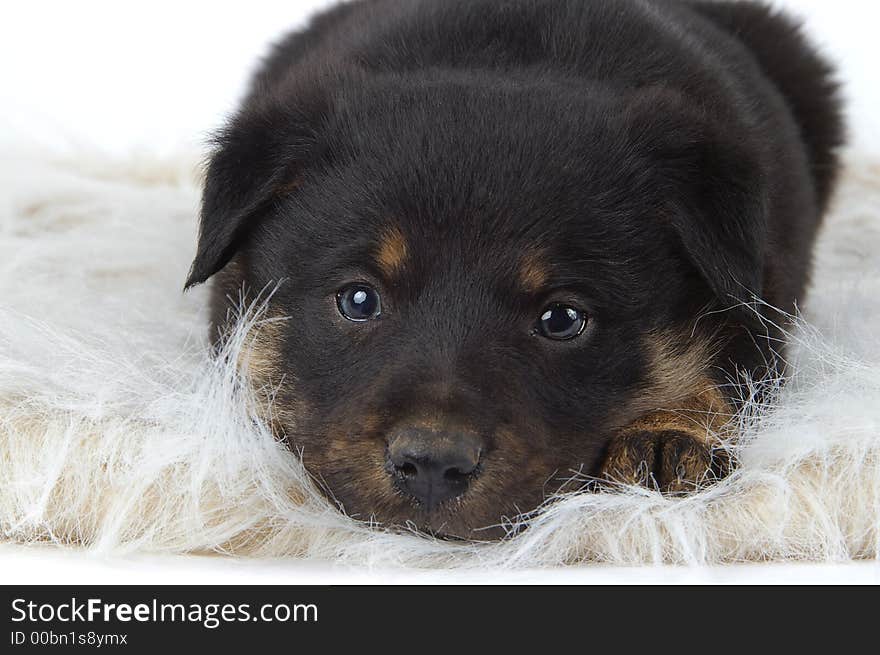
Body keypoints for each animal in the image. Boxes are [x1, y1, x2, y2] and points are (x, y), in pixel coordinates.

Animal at [187, 0, 844, 540]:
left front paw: (666, 436)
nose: (433, 465)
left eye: (562, 319)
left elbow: (727, 372)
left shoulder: (759, 298)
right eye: (358, 300)